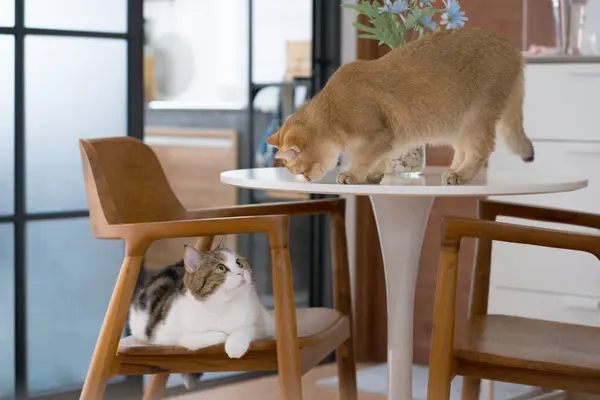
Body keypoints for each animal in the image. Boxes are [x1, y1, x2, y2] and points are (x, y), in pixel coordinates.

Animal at [130, 245, 276, 390]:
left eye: (239, 263)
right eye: (221, 268)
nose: (241, 272)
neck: (226, 305)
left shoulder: (267, 323)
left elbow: (248, 327)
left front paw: (235, 344)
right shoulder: (167, 335)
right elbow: (215, 334)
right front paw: (226, 336)